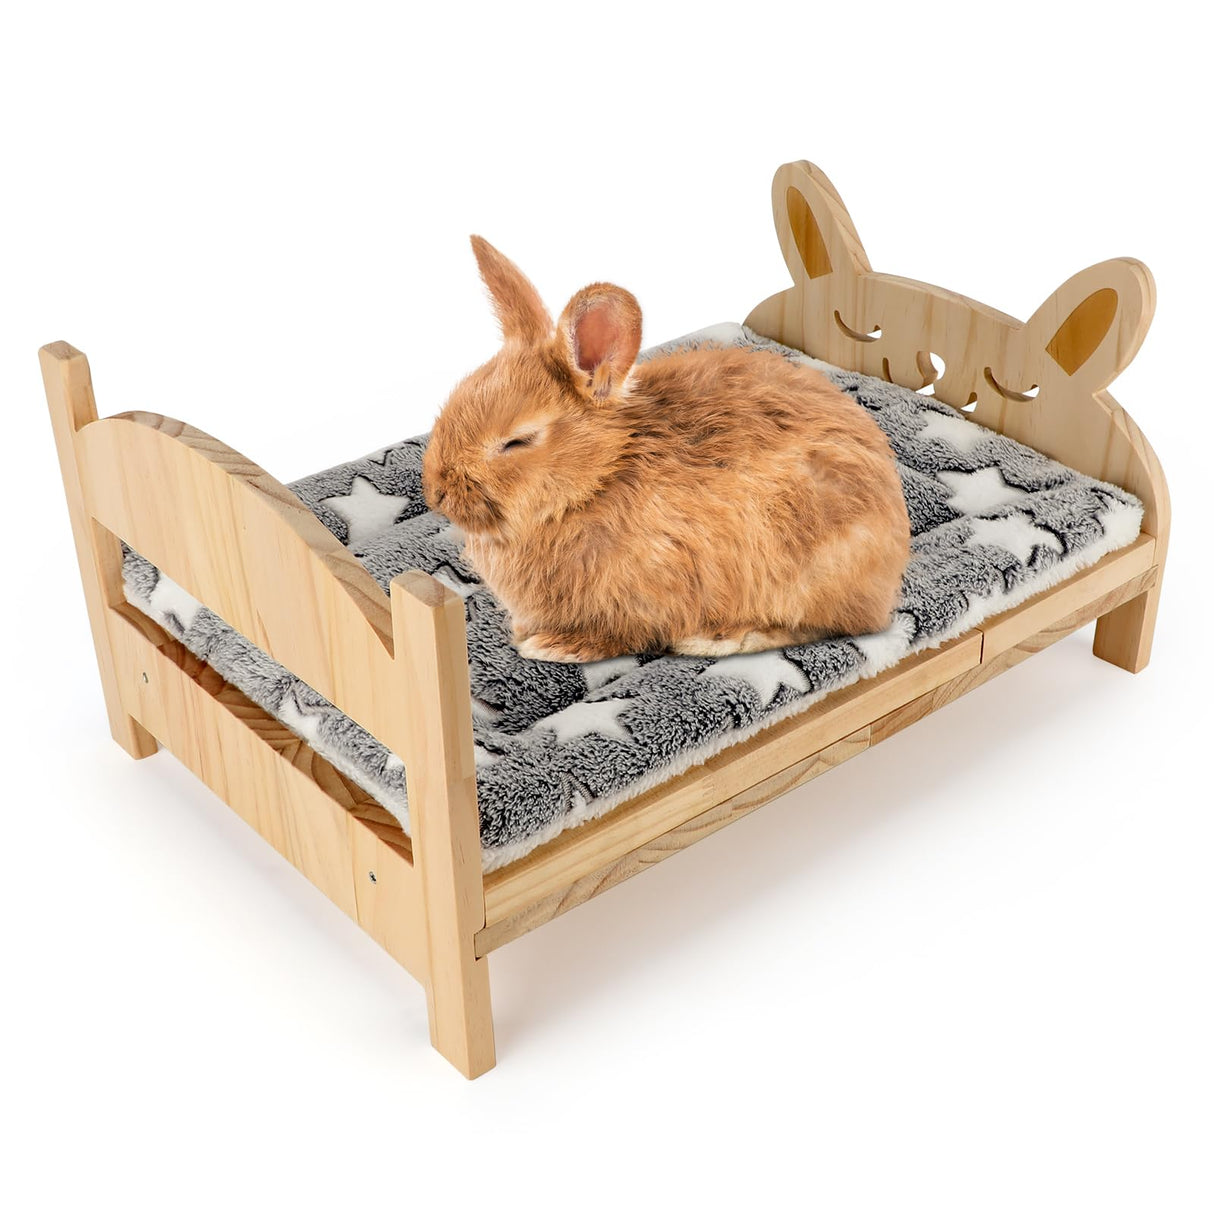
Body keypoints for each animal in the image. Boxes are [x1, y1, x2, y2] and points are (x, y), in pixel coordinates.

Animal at [421, 236, 911, 663]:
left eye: (517, 441)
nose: (436, 494)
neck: (599, 478)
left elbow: (622, 635)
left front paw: (555, 646)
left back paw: (720, 639)